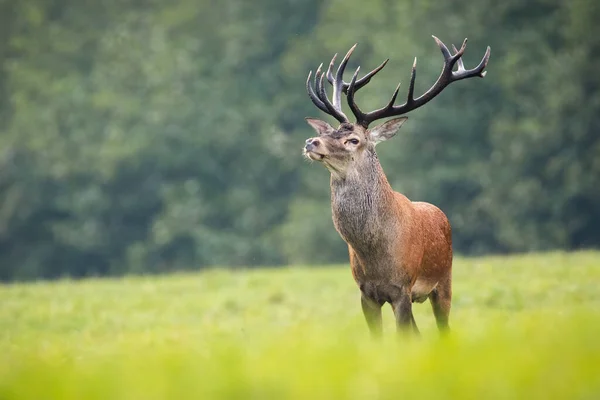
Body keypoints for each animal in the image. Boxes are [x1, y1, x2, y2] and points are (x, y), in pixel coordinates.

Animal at [302, 36, 490, 336]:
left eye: (353, 140)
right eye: (328, 131)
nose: (311, 142)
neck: (374, 253)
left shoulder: (402, 288)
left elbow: (404, 338)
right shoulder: (366, 293)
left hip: (444, 280)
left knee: (443, 328)